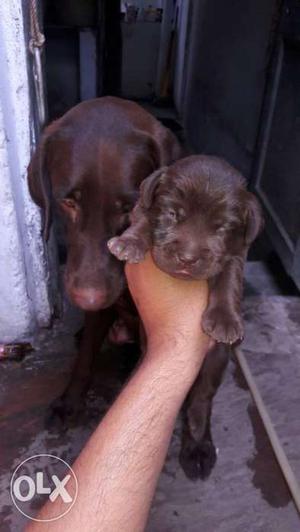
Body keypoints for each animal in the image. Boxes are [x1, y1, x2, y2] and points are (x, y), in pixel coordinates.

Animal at [108, 156, 262, 480]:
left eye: (222, 227)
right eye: (172, 214)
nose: (188, 258)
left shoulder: (236, 252)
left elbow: (229, 278)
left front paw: (225, 320)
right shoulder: (143, 209)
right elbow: (144, 221)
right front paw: (130, 242)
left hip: (216, 361)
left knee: (201, 399)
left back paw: (198, 444)